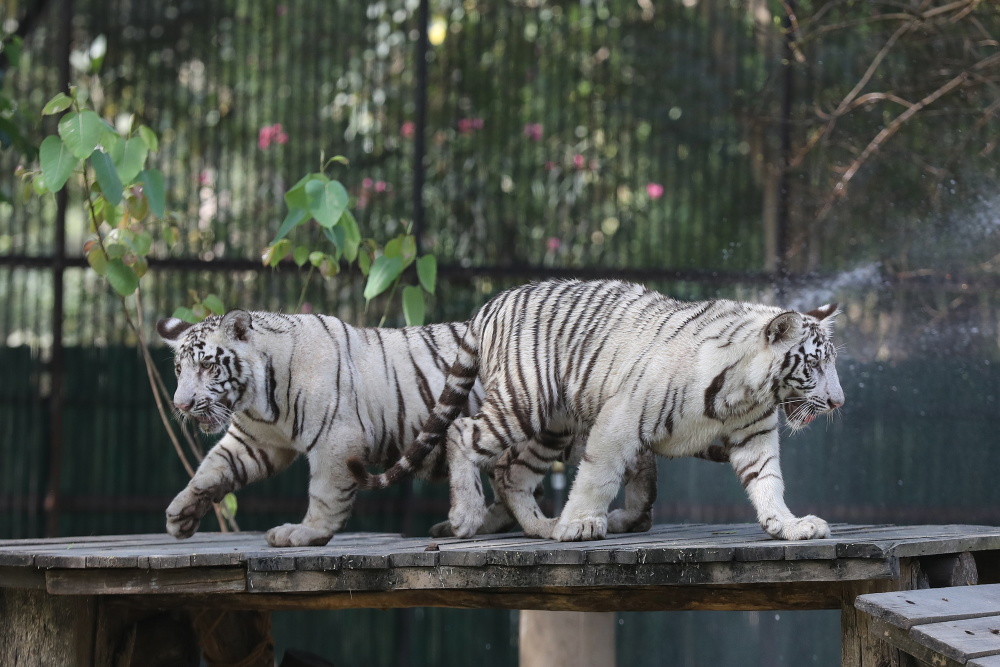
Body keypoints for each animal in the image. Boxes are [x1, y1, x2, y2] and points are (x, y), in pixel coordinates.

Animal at [156, 310, 656, 544]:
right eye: (180, 369)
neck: (260, 398)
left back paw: (623, 518)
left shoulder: (336, 439)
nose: (181, 403)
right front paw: (180, 515)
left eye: (207, 366)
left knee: (631, 459)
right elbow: (212, 469)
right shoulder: (255, 440)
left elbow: (324, 495)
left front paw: (305, 533)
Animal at [352, 278, 844, 544]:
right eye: (815, 364)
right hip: (522, 402)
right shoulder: (621, 417)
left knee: (511, 471)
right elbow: (598, 475)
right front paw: (582, 524)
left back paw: (542, 526)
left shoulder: (753, 434)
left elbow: (767, 480)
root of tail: (491, 303)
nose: (838, 401)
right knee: (461, 433)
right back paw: (467, 517)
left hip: (552, 425)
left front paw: (788, 525)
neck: (746, 389)